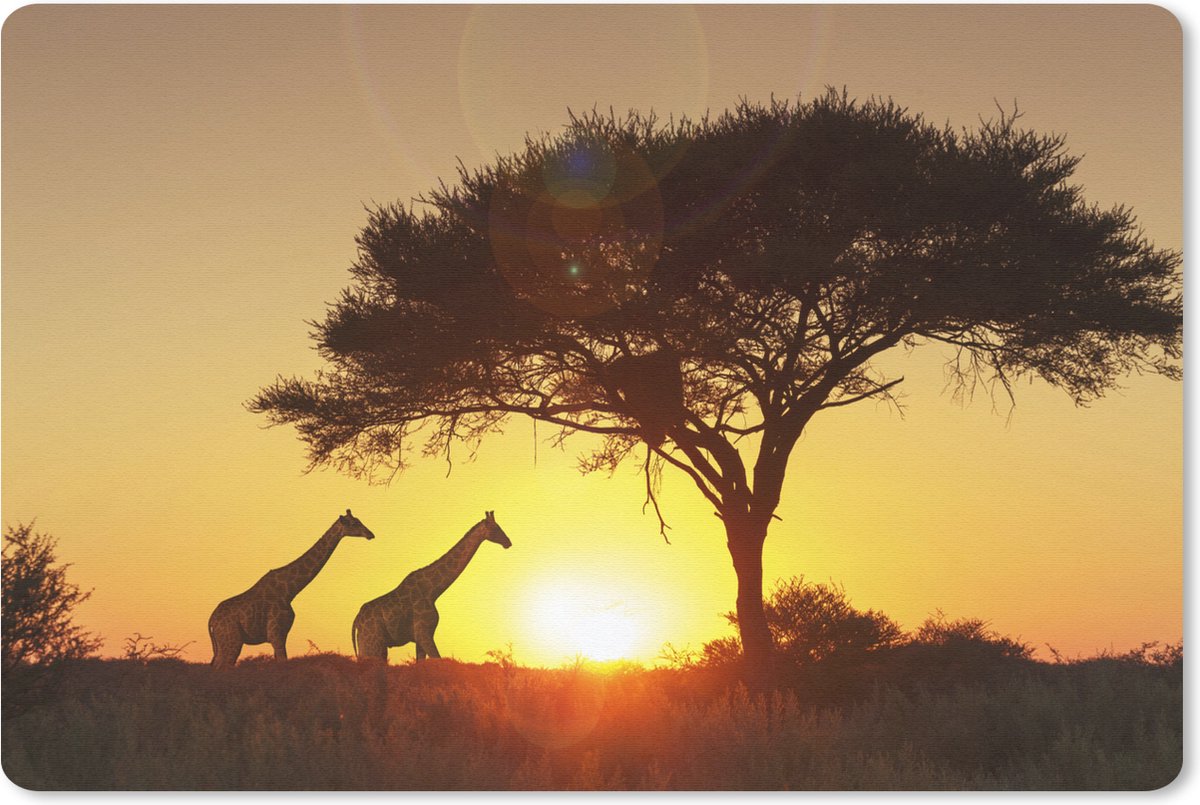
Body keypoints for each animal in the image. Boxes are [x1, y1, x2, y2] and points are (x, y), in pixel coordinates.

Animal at [209, 509, 375, 668]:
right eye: (354, 523)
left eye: (359, 520)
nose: (370, 534)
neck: (289, 591)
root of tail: (211, 621)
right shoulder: (276, 634)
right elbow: (283, 661)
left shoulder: (281, 634)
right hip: (231, 641)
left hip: (222, 644)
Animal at [352, 511, 511, 662]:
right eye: (495, 527)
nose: (508, 542)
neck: (432, 591)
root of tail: (356, 621)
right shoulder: (424, 633)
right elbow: (438, 659)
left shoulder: (420, 639)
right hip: (373, 643)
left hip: (369, 645)